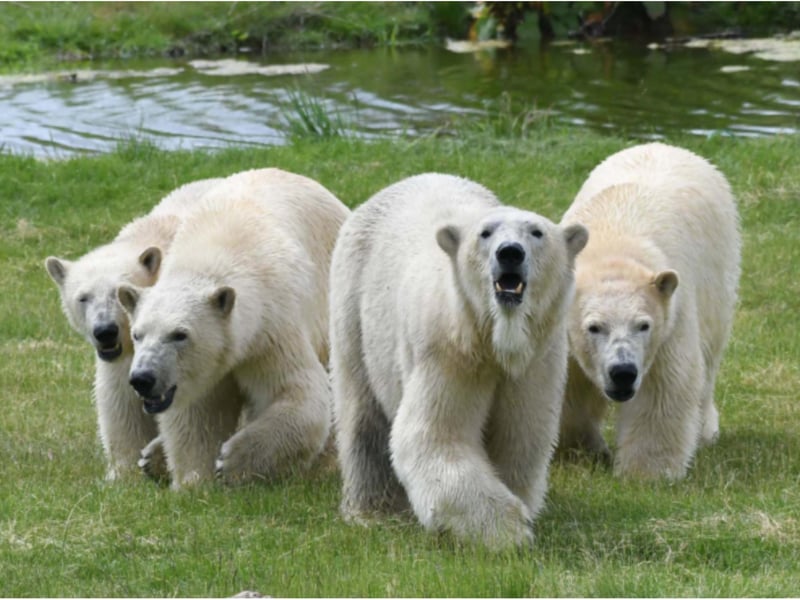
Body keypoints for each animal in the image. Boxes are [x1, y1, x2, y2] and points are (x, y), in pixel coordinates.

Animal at [45, 177, 224, 481]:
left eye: (119, 293)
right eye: (83, 297)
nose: (105, 331)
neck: (157, 236)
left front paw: (154, 458)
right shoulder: (125, 352)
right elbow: (120, 399)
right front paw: (121, 474)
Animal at [117, 168, 350, 489]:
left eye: (179, 335)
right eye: (137, 334)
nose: (143, 378)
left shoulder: (271, 327)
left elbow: (299, 393)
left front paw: (231, 463)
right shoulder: (204, 369)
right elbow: (196, 415)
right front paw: (194, 481)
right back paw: (152, 457)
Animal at [329, 173, 588, 548]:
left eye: (536, 232)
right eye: (486, 232)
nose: (510, 253)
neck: (496, 340)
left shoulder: (537, 361)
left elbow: (521, 436)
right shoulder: (448, 351)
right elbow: (436, 435)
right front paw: (508, 531)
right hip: (354, 301)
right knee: (362, 412)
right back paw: (372, 511)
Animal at [559, 142, 741, 479]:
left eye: (642, 325)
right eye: (594, 327)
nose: (622, 372)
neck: (611, 247)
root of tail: (666, 145)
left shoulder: (670, 320)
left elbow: (661, 389)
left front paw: (646, 473)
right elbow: (568, 385)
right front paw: (582, 450)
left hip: (718, 268)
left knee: (710, 353)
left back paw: (705, 430)